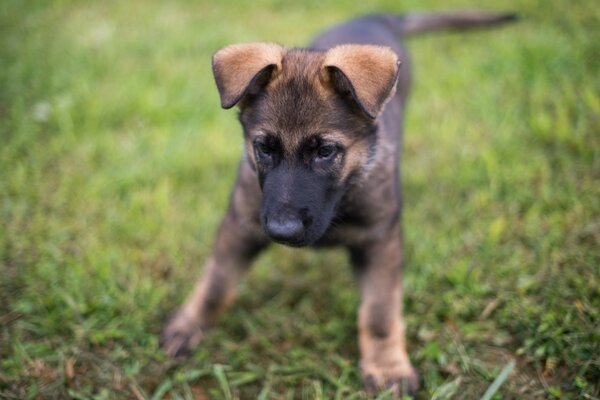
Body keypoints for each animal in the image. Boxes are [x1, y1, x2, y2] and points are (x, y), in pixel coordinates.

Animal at [163, 10, 516, 396]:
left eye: (325, 152)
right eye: (264, 148)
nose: (282, 232)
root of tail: (375, 16)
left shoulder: (379, 239)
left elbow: (379, 313)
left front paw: (387, 367)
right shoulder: (242, 223)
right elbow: (217, 281)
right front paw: (190, 324)